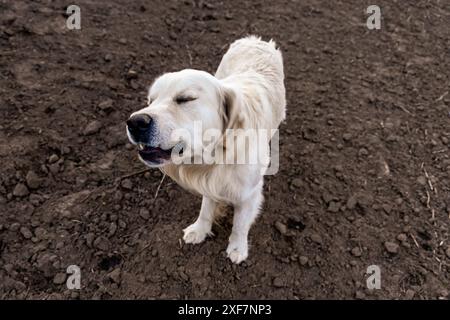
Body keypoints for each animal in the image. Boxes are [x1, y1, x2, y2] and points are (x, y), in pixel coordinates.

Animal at [125, 36, 284, 264]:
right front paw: (200, 229)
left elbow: (240, 224)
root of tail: (255, 39)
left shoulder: (249, 193)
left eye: (185, 98)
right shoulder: (209, 182)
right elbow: (206, 208)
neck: (217, 156)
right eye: (151, 100)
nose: (135, 123)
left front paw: (237, 248)